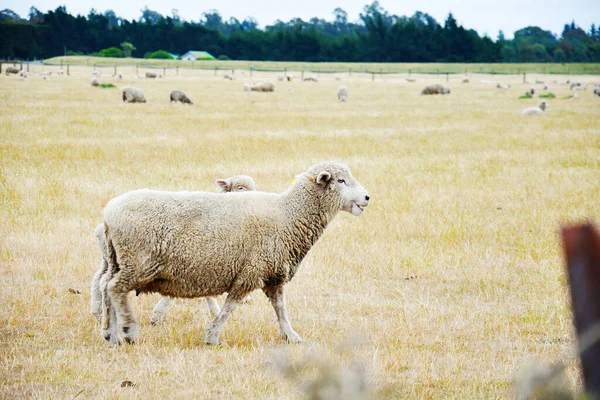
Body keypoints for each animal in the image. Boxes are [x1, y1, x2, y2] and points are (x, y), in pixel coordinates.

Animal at [98, 161, 370, 346]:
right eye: (341, 181)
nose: (367, 197)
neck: (289, 214)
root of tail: (108, 213)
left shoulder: (272, 274)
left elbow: (280, 309)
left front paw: (291, 336)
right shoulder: (250, 271)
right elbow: (230, 307)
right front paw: (212, 336)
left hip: (118, 261)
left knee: (106, 289)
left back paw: (111, 334)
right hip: (138, 262)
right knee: (115, 289)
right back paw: (128, 331)